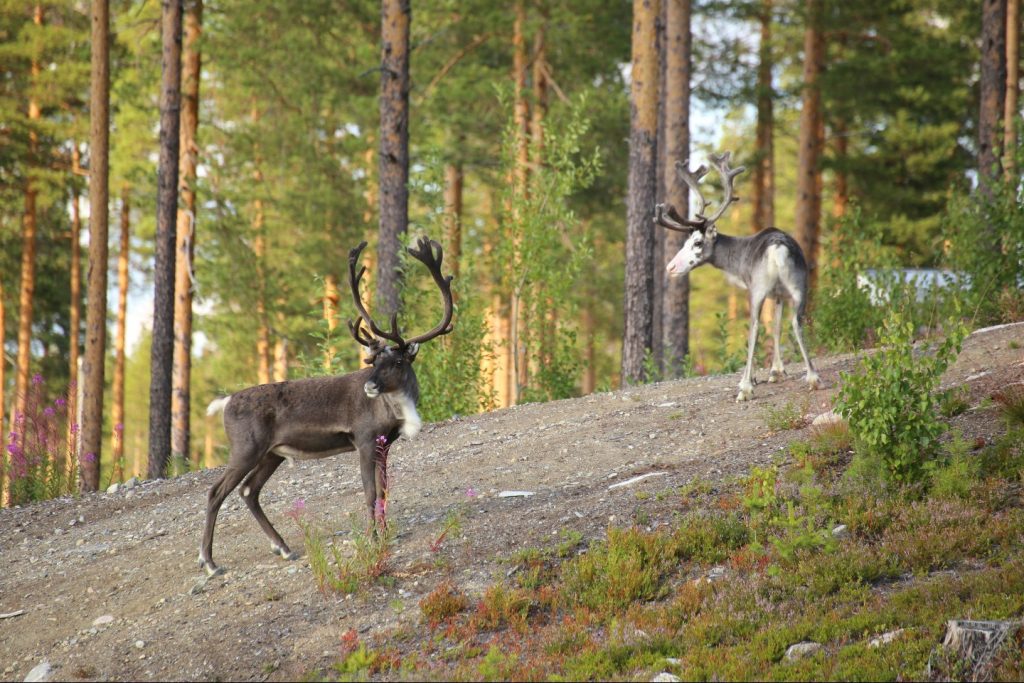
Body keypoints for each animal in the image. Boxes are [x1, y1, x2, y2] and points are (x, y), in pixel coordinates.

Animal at [199, 236, 454, 576]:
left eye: (398, 361)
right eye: (374, 361)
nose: (370, 386)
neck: (395, 409)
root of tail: (225, 401)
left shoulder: (385, 445)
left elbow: (384, 491)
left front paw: (386, 533)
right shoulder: (364, 440)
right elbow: (369, 492)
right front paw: (374, 538)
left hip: (271, 454)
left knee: (249, 491)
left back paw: (283, 547)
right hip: (245, 449)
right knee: (216, 492)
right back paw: (210, 562)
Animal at [654, 151, 820, 402]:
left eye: (697, 243)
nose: (670, 267)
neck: (736, 263)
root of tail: (778, 248)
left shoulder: (755, 288)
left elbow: (763, 329)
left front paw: (755, 379)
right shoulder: (779, 294)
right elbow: (777, 326)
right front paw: (777, 371)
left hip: (759, 290)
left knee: (754, 327)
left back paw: (745, 387)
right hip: (801, 286)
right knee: (796, 322)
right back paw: (813, 377)